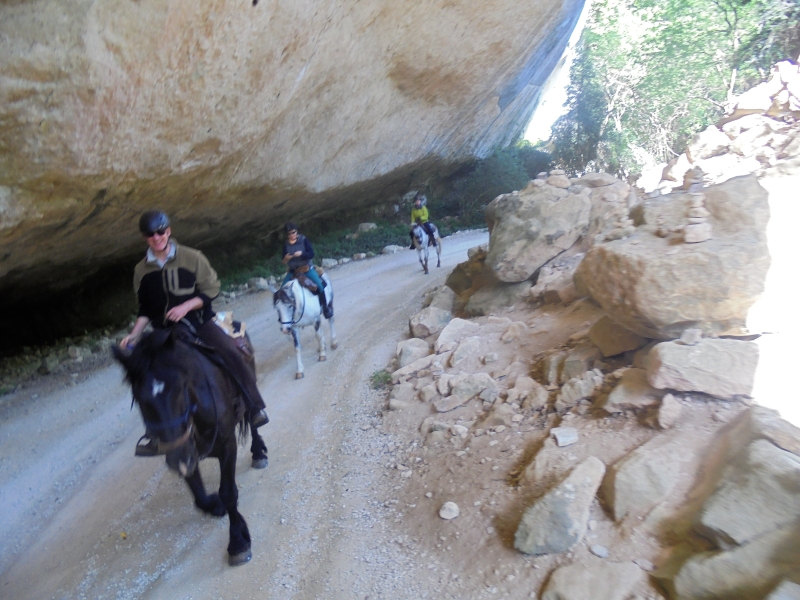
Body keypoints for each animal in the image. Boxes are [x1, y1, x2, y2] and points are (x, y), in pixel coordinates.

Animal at [112, 326, 266, 564]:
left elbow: (228, 492)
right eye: (139, 398)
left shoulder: (226, 444)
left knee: (252, 416)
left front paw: (238, 541)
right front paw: (216, 506)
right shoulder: (184, 453)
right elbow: (200, 496)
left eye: (180, 387)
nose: (178, 458)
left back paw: (258, 452)